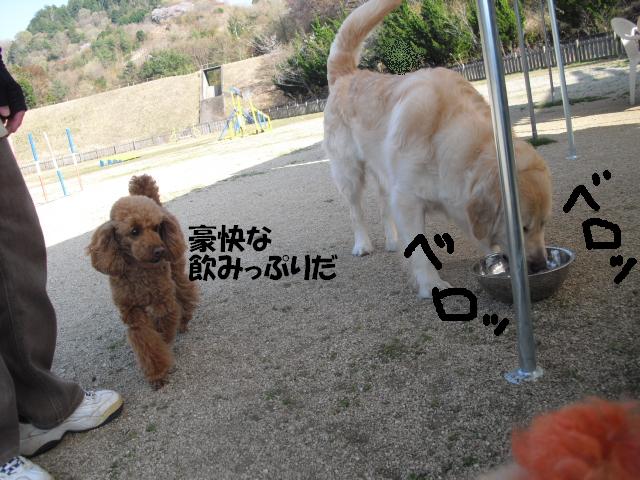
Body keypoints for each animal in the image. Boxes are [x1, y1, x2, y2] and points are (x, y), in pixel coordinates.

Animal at [87, 175, 198, 388]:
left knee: (185, 290)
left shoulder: (163, 301)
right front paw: (157, 373)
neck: (139, 270)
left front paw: (164, 344)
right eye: (134, 231)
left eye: (156, 228)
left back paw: (184, 320)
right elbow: (146, 340)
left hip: (175, 268)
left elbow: (162, 328)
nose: (160, 251)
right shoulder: (132, 312)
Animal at [324, 0, 552, 298]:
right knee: (355, 211)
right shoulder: (407, 199)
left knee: (384, 205)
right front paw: (431, 284)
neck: (445, 135)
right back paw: (363, 244)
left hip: (383, 172)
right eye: (522, 228)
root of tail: (347, 74)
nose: (540, 265)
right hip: (349, 172)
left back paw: (392, 240)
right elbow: (419, 252)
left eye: (544, 223)